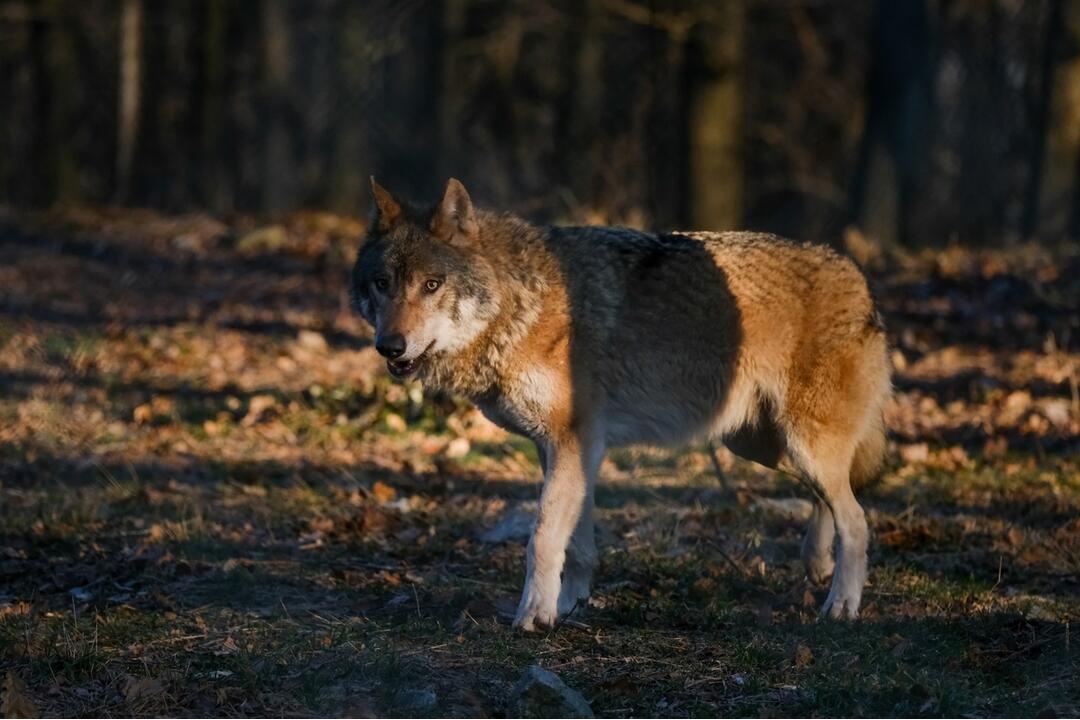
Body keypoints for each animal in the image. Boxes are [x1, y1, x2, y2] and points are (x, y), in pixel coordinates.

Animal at [349, 179, 889, 630]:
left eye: (432, 285)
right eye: (382, 283)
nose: (389, 347)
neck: (518, 305)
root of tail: (857, 277)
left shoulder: (572, 441)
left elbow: (542, 537)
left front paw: (533, 615)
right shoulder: (568, 448)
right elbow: (576, 541)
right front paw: (569, 603)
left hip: (800, 446)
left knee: (858, 519)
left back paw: (842, 605)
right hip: (763, 447)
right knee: (834, 500)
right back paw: (817, 564)